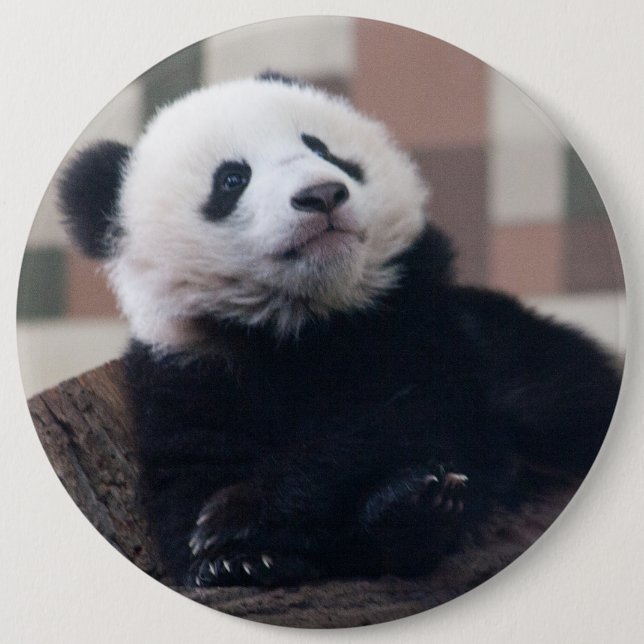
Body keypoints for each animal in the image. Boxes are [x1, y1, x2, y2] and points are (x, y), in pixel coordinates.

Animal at [58, 72, 621, 588]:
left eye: (322, 149)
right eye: (232, 179)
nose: (322, 194)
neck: (305, 321)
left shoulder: (421, 320)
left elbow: (412, 414)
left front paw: (239, 514)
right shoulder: (190, 368)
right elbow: (186, 479)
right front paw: (233, 557)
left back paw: (418, 507)